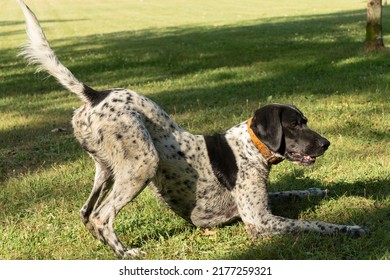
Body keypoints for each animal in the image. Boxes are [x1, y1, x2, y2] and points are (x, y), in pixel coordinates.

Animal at [16, 0, 368, 258]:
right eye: (294, 125)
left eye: (305, 122)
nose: (326, 143)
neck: (250, 148)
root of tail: (93, 93)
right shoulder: (259, 220)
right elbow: (317, 224)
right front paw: (352, 228)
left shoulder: (259, 206)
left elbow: (295, 192)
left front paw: (318, 190)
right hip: (142, 164)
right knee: (103, 216)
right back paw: (126, 253)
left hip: (106, 169)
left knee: (86, 213)